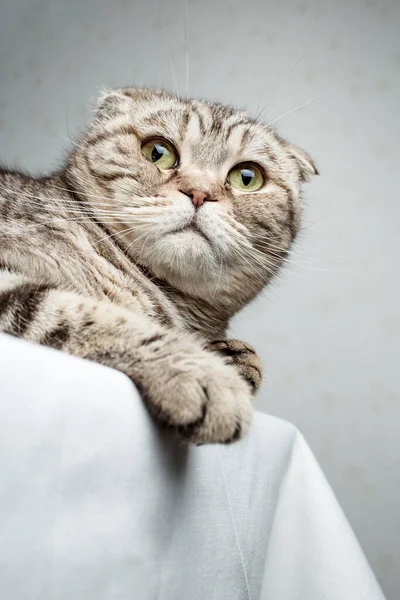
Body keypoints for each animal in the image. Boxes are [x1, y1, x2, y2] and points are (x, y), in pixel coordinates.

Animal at [0, 88, 318, 446]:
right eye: (158, 152)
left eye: (247, 178)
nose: (199, 193)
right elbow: (86, 316)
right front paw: (206, 373)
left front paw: (232, 358)